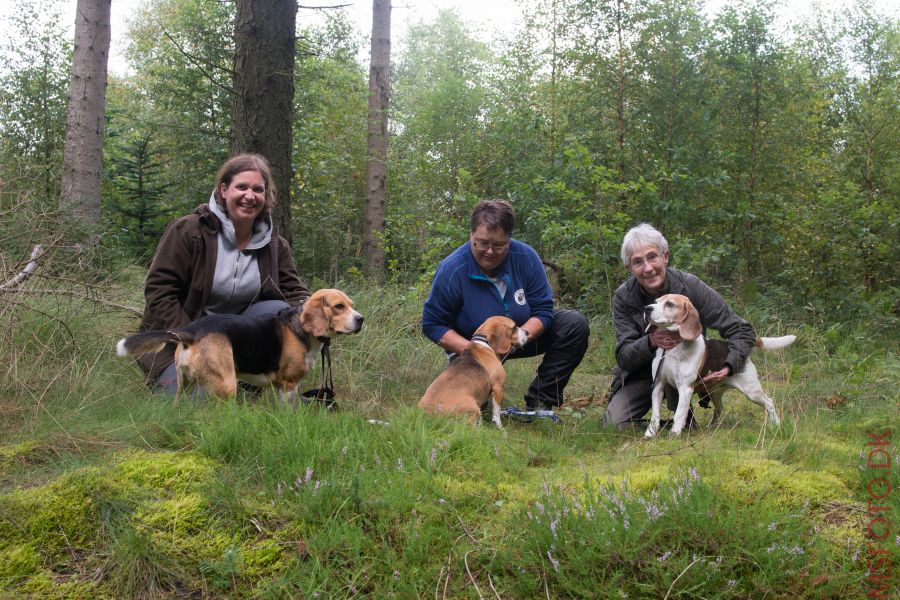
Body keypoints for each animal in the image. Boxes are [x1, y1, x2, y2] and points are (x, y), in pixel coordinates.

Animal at [116, 290, 362, 404]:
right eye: (339, 306)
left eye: (351, 305)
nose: (361, 319)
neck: (300, 328)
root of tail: (191, 331)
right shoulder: (288, 385)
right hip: (226, 384)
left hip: (183, 384)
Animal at [648, 294, 796, 438]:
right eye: (655, 301)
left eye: (670, 304)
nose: (647, 308)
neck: (673, 347)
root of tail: (730, 345)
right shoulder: (658, 385)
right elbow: (655, 414)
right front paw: (650, 433)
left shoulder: (685, 388)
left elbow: (679, 414)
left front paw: (674, 434)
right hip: (715, 392)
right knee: (720, 409)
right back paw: (711, 427)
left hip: (752, 391)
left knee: (769, 402)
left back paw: (775, 425)